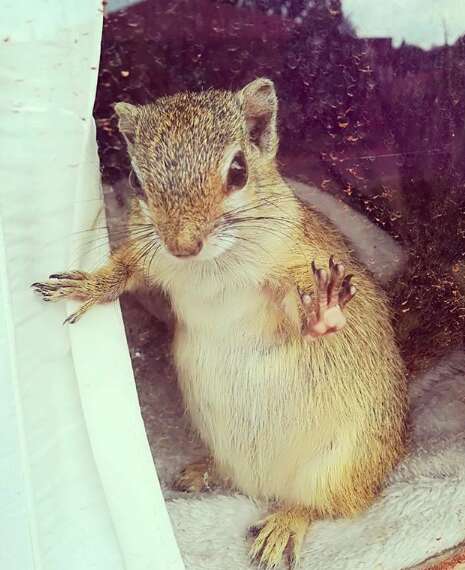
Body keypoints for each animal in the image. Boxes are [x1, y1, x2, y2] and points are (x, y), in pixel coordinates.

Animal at [32, 77, 406, 564]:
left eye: (239, 171)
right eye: (135, 179)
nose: (183, 245)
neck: (208, 268)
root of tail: (264, 485)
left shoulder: (289, 262)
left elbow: (299, 308)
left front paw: (324, 309)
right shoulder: (152, 259)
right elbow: (126, 270)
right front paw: (90, 285)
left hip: (344, 464)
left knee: (324, 505)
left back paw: (284, 524)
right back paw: (201, 473)